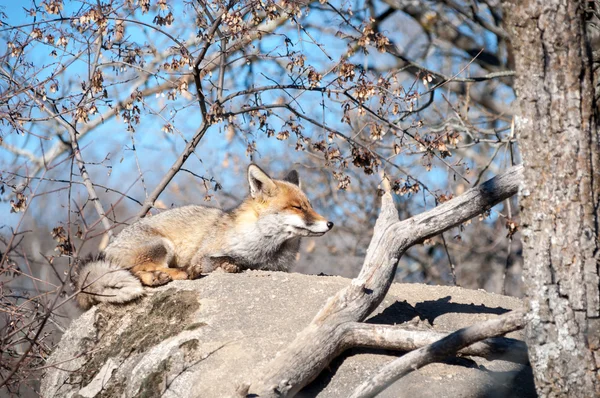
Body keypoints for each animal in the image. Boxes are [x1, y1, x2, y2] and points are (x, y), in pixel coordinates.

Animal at [75, 163, 332, 310]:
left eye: (309, 205)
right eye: (298, 207)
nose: (330, 223)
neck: (268, 249)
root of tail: (108, 249)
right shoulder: (205, 254)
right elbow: (226, 259)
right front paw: (229, 264)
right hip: (162, 246)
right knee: (139, 270)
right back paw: (174, 274)